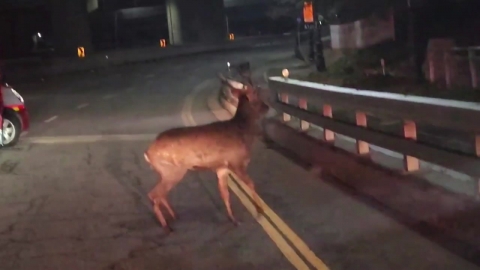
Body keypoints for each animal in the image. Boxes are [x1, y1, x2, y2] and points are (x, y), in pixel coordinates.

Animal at [142, 73, 270, 233]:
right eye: (255, 94)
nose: (267, 107)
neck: (242, 130)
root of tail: (147, 152)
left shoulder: (222, 167)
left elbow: (224, 193)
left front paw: (233, 219)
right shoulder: (236, 162)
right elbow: (251, 184)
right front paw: (260, 211)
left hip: (166, 172)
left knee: (160, 194)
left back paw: (174, 216)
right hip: (172, 170)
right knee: (154, 194)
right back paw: (167, 226)